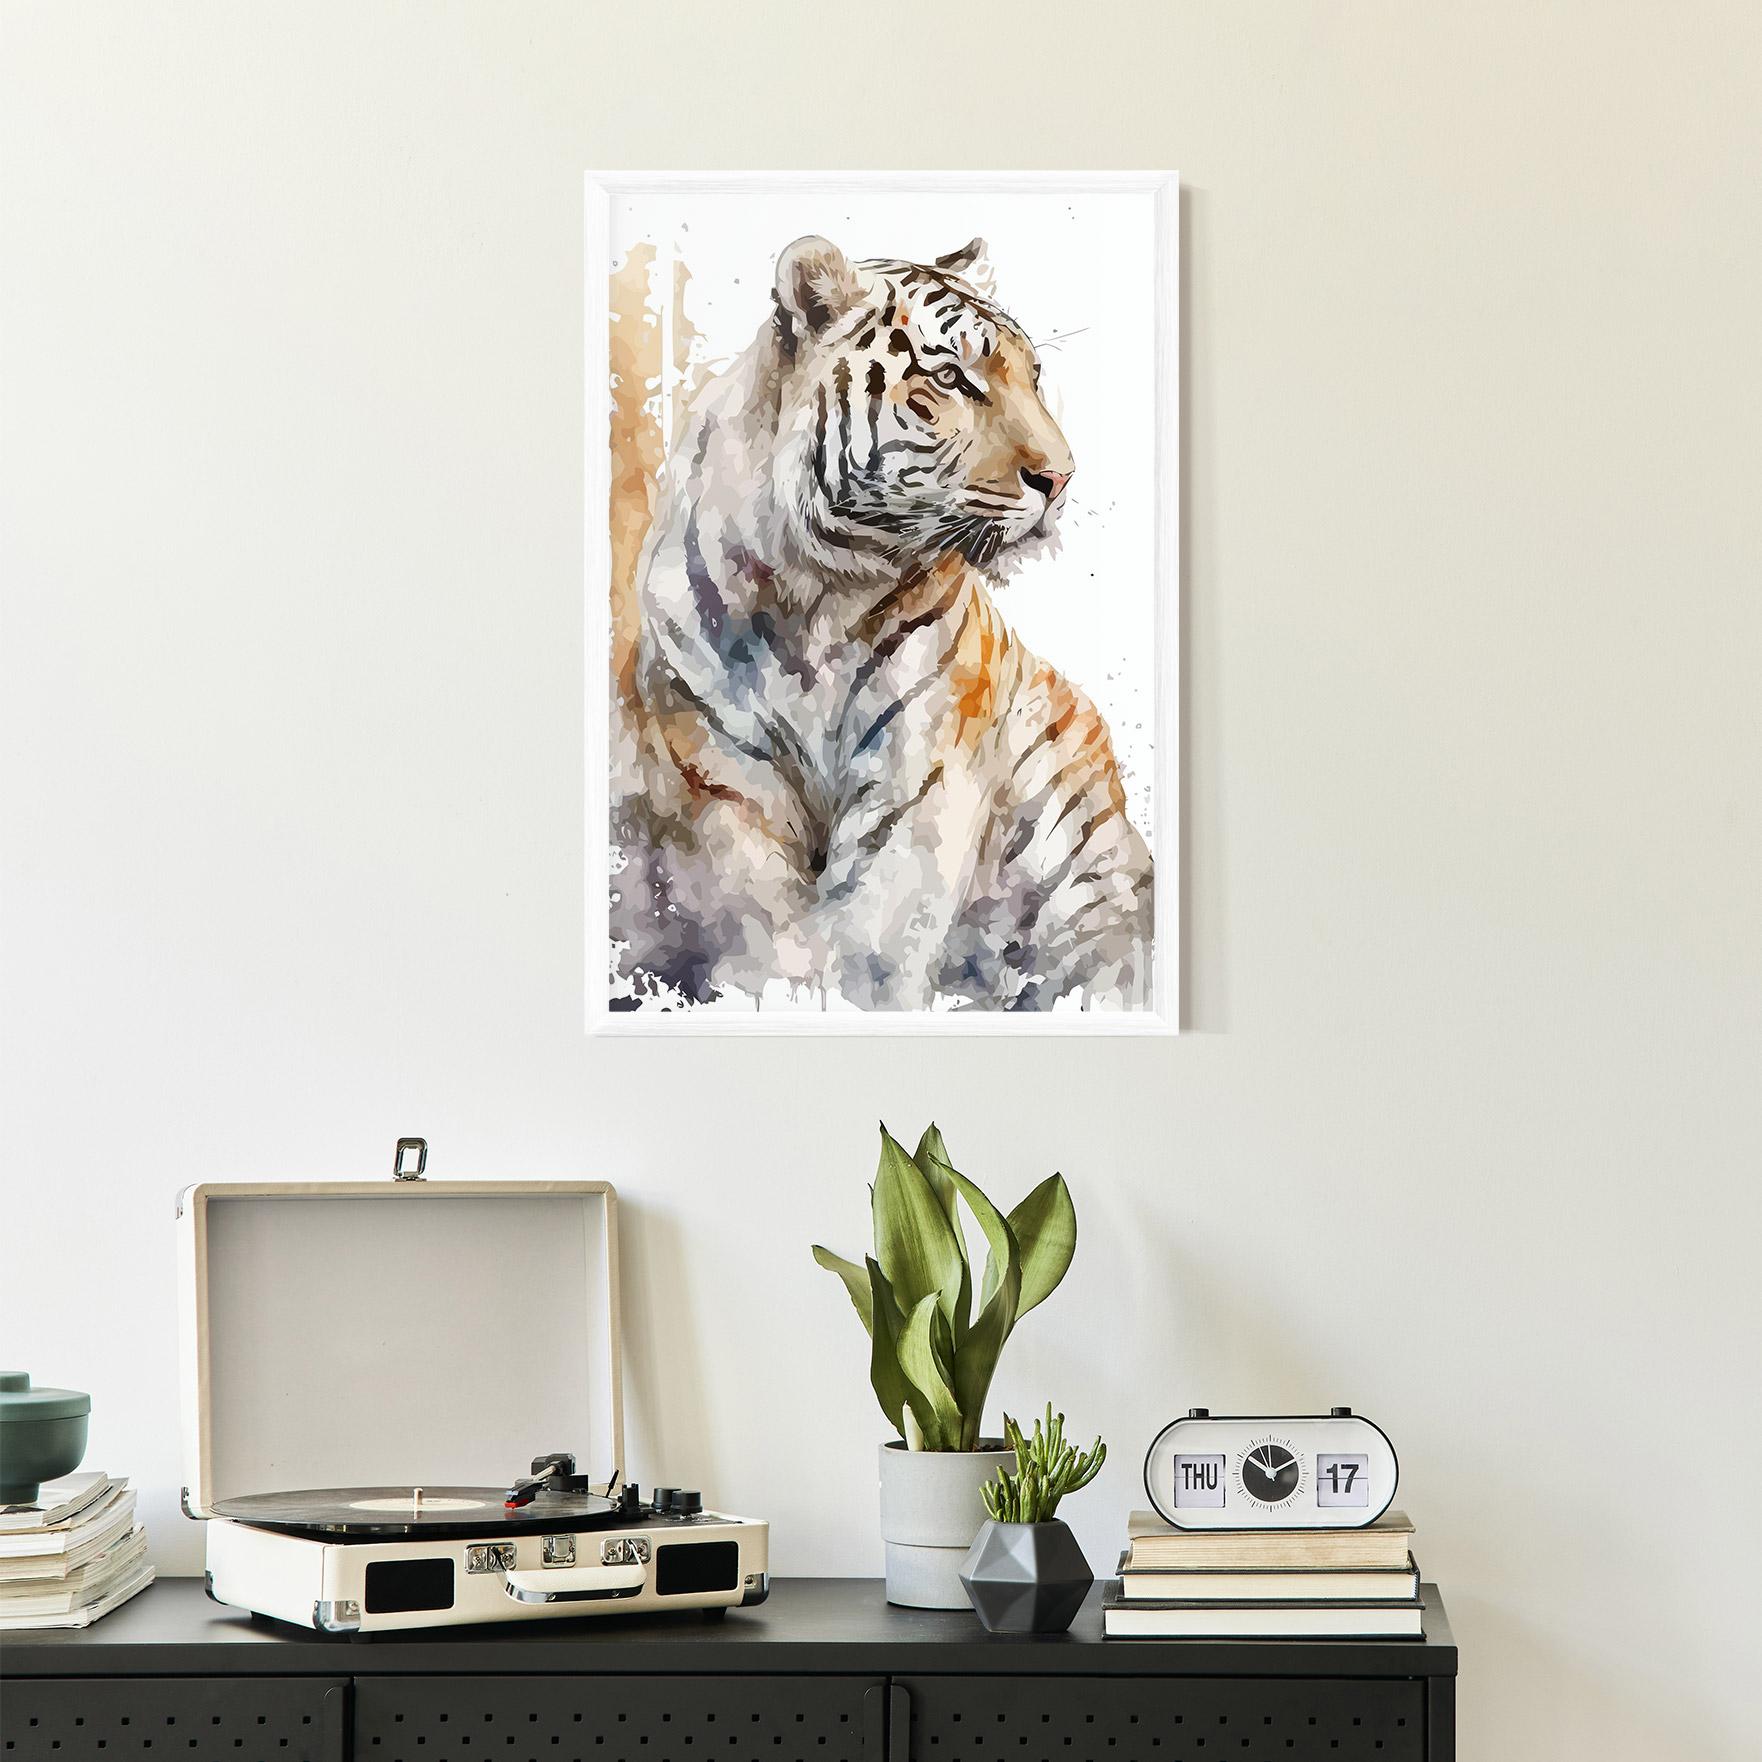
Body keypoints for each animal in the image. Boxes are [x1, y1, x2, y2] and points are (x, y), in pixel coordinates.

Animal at [609, 233, 1153, 1012]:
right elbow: (755, 928)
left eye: (1034, 376)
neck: (814, 595)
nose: (1061, 478)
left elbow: (874, 945)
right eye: (953, 378)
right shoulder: (722, 777)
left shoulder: (918, 777)